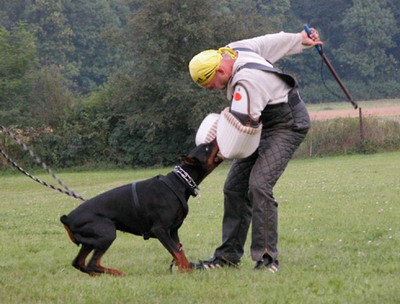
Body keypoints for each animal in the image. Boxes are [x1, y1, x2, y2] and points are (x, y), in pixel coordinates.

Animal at [60, 140, 222, 276]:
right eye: (206, 148)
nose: (216, 139)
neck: (179, 183)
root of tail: (68, 218)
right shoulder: (160, 230)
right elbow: (177, 253)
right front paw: (185, 274)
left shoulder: (173, 230)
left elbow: (181, 253)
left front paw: (187, 271)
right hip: (107, 232)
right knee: (92, 263)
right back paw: (117, 273)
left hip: (90, 241)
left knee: (79, 263)